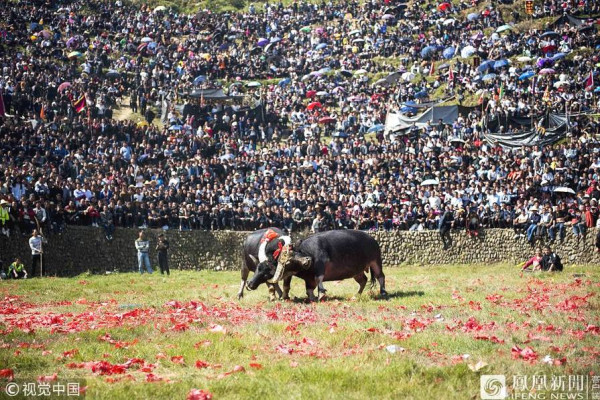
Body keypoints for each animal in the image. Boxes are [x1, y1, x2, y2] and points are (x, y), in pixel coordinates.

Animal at [247, 230, 387, 301]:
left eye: (268, 270)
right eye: (258, 268)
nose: (250, 283)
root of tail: (372, 240)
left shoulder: (321, 266)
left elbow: (319, 279)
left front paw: (321, 294)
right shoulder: (308, 279)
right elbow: (309, 289)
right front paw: (313, 297)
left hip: (376, 261)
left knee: (380, 276)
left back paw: (383, 292)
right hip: (357, 271)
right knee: (363, 280)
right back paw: (356, 295)